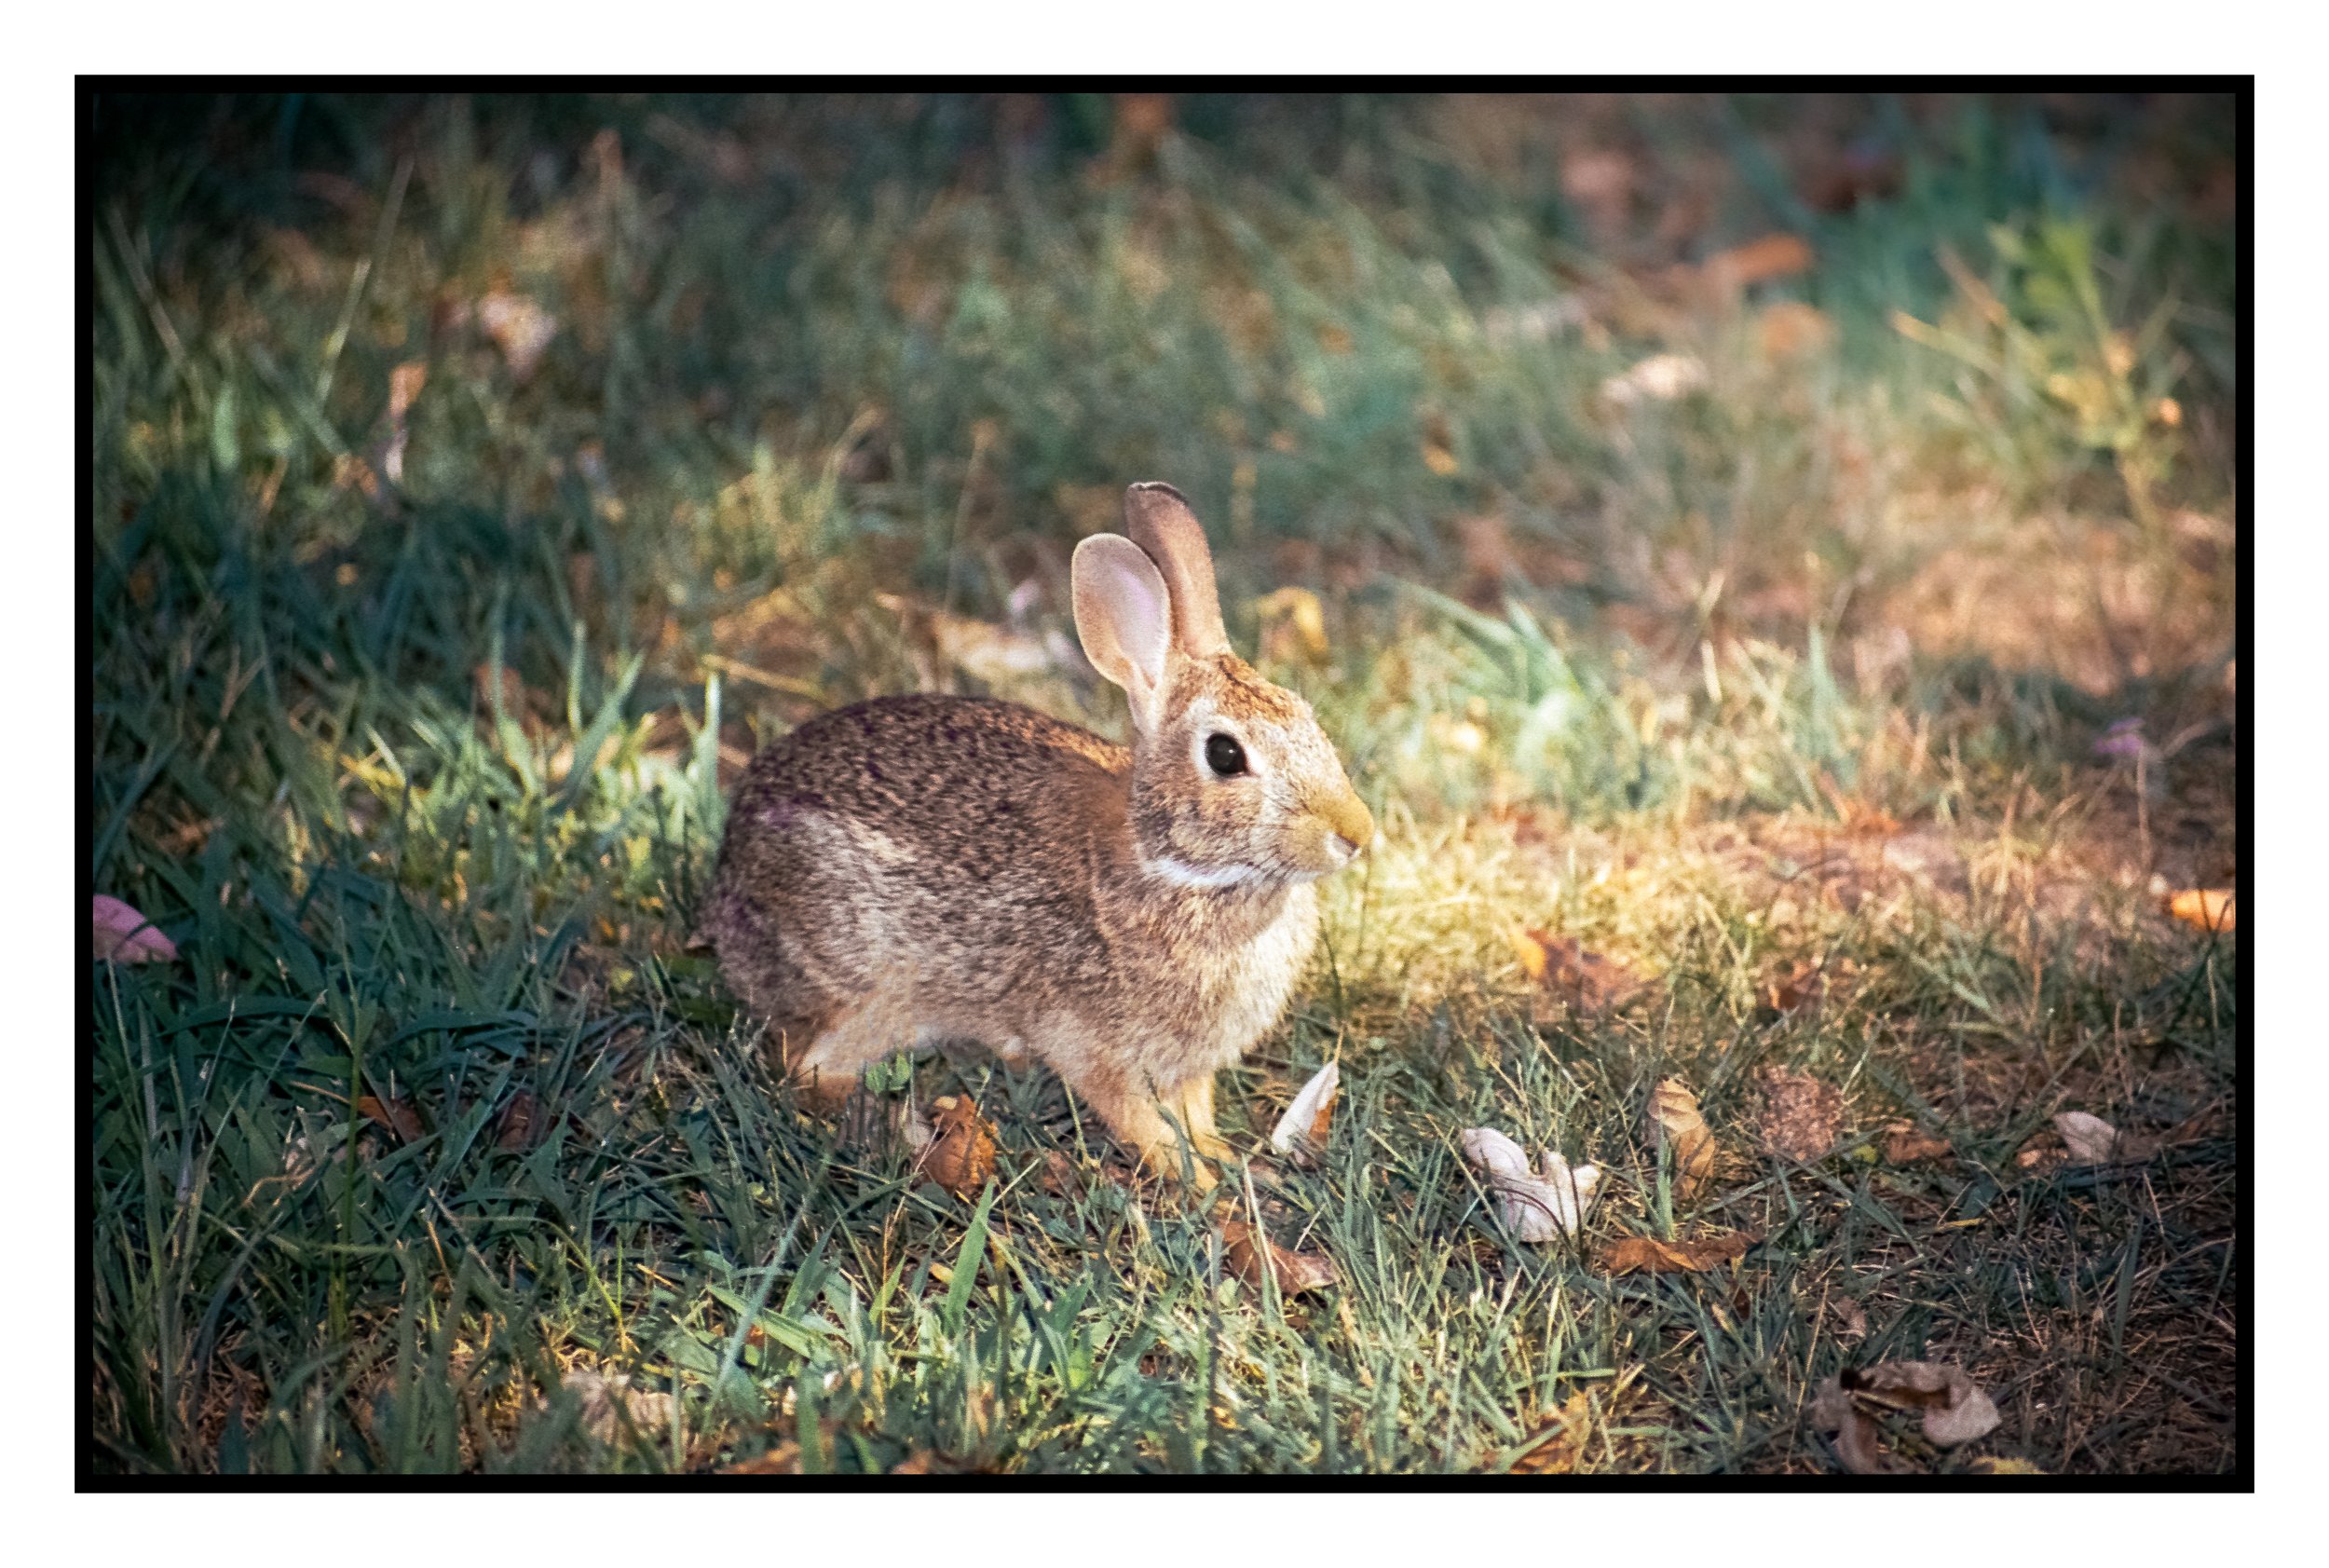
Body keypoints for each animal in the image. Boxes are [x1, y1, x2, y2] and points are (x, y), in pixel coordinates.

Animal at [701, 482, 1374, 1184]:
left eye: (1305, 716)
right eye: (1224, 755)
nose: (1356, 832)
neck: (1169, 861)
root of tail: (727, 886)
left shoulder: (1189, 1065)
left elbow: (1195, 1111)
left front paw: (1220, 1157)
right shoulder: (1088, 1041)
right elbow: (1134, 1116)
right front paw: (1193, 1179)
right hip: (870, 989)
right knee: (805, 1068)